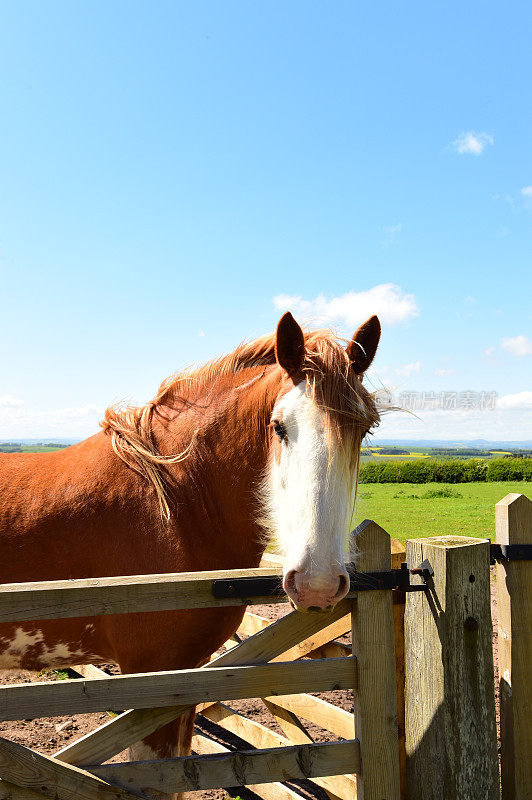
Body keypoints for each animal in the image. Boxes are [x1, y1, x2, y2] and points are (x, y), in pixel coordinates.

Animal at [0, 310, 380, 792]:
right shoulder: (149, 682)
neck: (174, 506)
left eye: (363, 430)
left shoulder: (184, 683)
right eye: (279, 426)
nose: (317, 583)